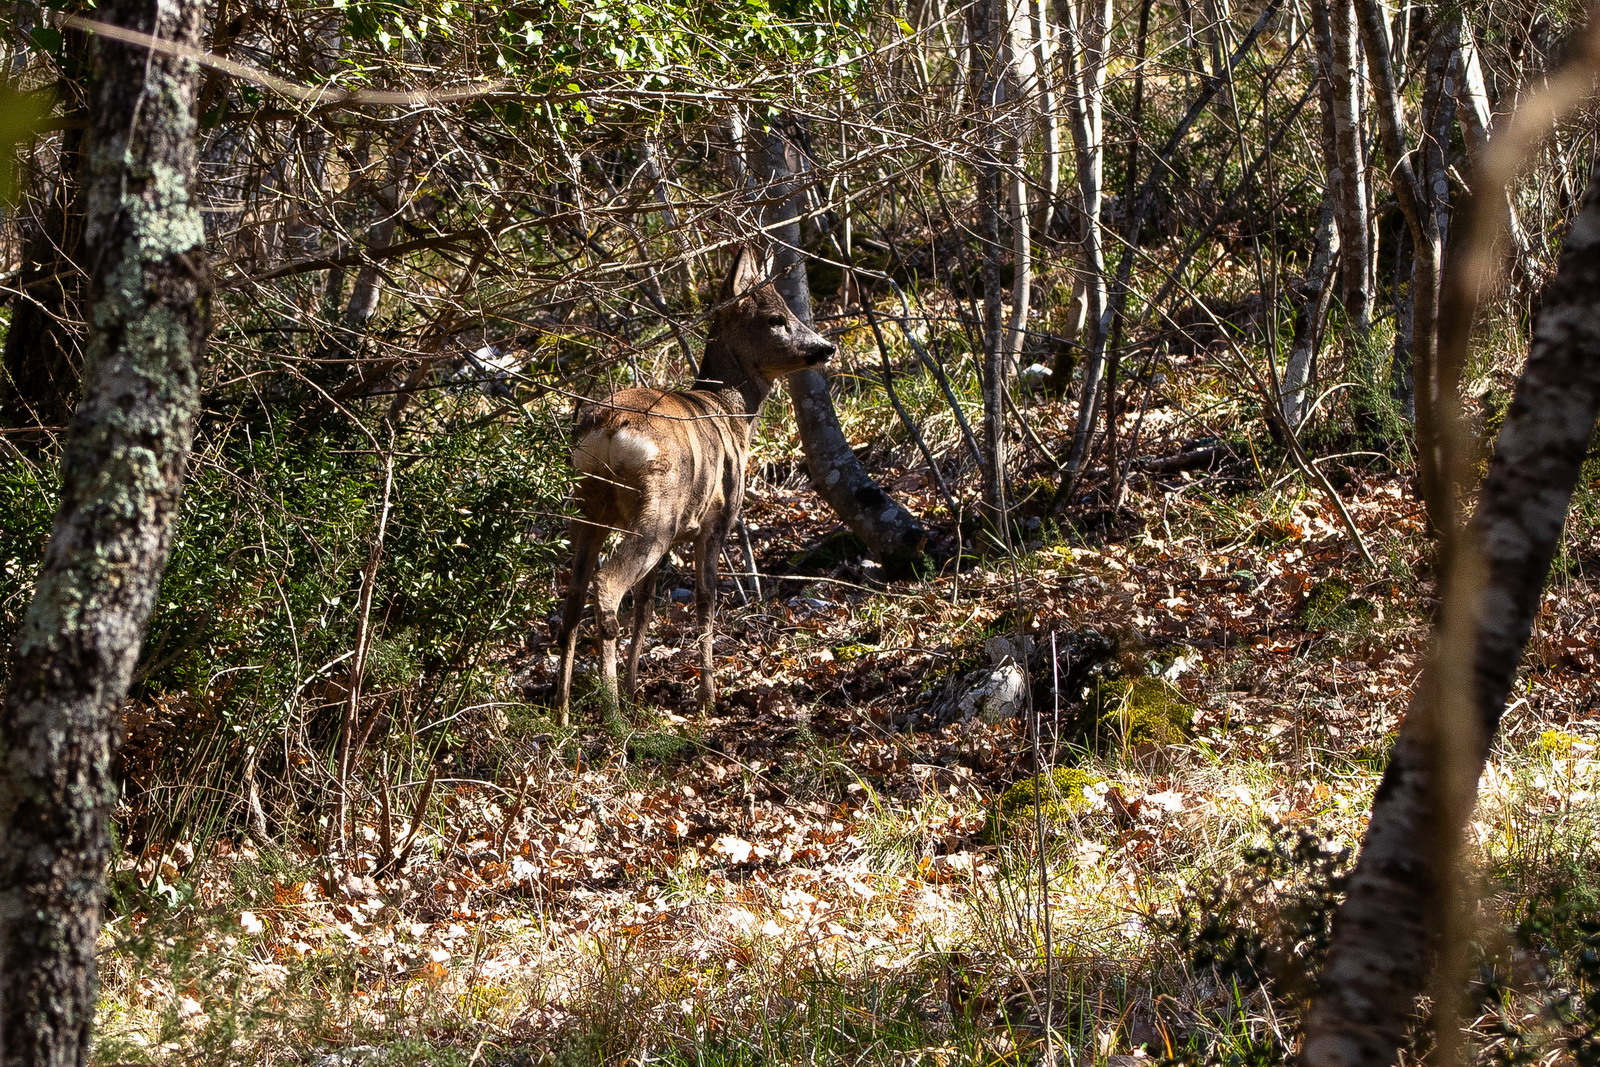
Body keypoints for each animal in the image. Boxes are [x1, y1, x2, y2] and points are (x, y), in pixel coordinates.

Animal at [552, 245, 835, 725]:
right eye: (776, 318)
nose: (824, 347)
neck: (733, 413)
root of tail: (608, 428)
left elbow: (647, 606)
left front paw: (635, 690)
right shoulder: (716, 521)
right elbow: (706, 599)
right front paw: (707, 699)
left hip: (590, 507)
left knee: (573, 597)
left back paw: (564, 712)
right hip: (657, 512)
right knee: (607, 584)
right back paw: (611, 712)